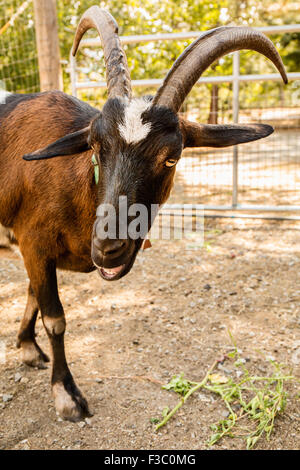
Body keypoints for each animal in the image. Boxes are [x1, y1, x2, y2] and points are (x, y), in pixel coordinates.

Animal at [0, 5, 288, 420]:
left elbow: (33, 296)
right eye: (94, 145)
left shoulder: (33, 251)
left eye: (172, 157)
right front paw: (67, 396)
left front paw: (26, 348)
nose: (108, 249)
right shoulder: (34, 243)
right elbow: (54, 317)